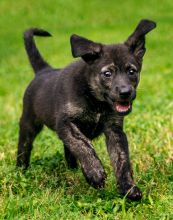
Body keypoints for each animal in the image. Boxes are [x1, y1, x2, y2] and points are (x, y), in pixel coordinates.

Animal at [16, 19, 156, 200]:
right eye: (107, 73)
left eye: (132, 71)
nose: (125, 93)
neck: (96, 101)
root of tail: (43, 70)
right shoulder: (65, 123)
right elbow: (82, 144)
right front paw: (94, 172)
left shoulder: (114, 130)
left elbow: (122, 159)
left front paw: (128, 187)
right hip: (28, 123)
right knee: (24, 147)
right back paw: (20, 170)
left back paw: (73, 171)